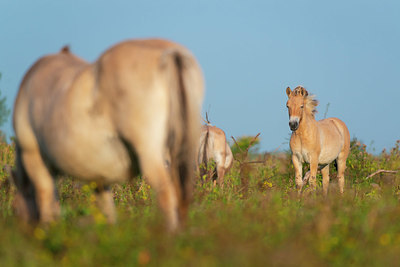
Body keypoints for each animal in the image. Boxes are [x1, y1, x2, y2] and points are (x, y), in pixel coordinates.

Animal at [13, 38, 203, 232]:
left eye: (14, 208)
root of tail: (170, 52)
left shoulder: (33, 157)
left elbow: (45, 197)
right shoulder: (98, 175)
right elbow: (106, 209)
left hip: (151, 155)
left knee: (166, 193)